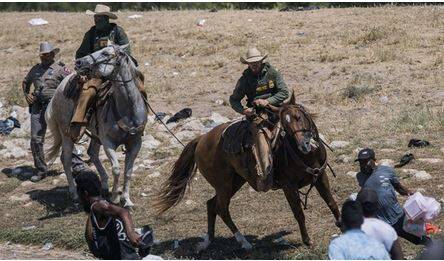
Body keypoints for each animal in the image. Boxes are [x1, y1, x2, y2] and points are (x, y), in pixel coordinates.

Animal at [45, 43, 147, 206]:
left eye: (105, 53)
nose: (79, 62)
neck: (128, 110)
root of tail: (58, 90)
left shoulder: (136, 142)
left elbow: (128, 171)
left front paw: (127, 200)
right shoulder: (108, 142)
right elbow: (117, 169)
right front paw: (115, 197)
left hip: (95, 133)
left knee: (92, 153)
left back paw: (104, 185)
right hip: (67, 133)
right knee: (66, 159)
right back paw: (74, 194)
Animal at [154, 103, 338, 250]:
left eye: (299, 117)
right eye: (284, 125)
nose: (304, 145)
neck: (304, 156)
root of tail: (201, 139)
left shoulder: (321, 177)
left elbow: (332, 203)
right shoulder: (289, 187)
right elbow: (298, 213)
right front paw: (307, 241)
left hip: (235, 182)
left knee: (211, 204)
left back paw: (208, 241)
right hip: (224, 185)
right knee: (221, 208)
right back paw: (243, 242)